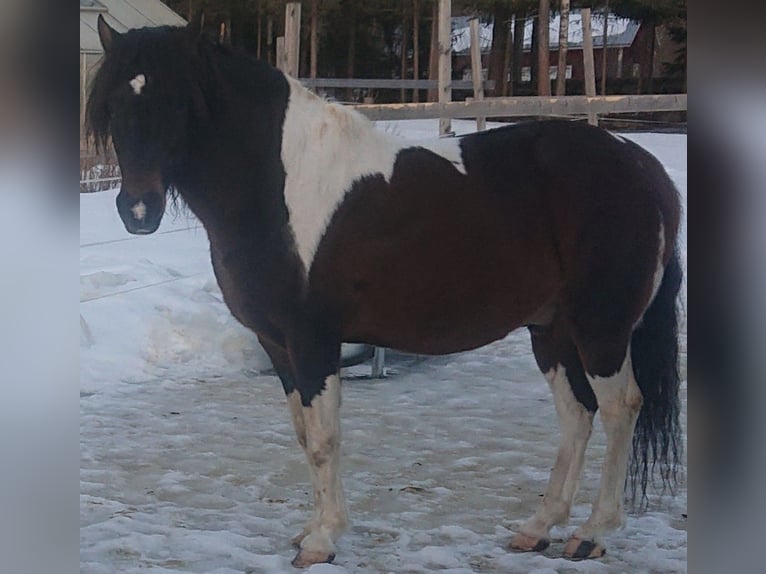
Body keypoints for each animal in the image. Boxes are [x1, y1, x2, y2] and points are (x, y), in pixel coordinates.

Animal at [87, 15, 683, 568]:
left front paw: (323, 542)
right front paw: (310, 530)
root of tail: (641, 166)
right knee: (577, 415)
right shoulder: (277, 345)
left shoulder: (312, 338)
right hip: (551, 329)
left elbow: (324, 439)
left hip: (601, 328)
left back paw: (592, 534)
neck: (278, 184)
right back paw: (538, 528)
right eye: (113, 104)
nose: (138, 210)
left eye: (176, 102)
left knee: (620, 409)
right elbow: (304, 435)